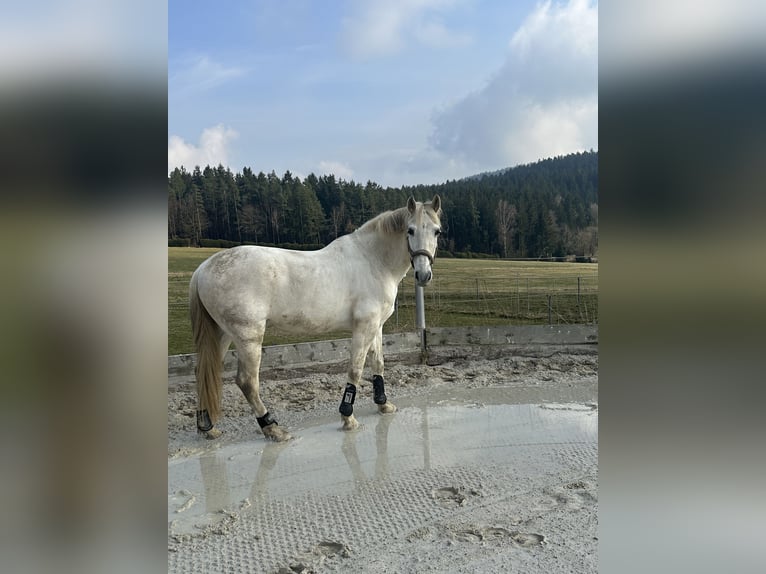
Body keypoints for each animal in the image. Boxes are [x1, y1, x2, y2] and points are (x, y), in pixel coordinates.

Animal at [189, 195, 442, 441]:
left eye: (437, 231)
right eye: (410, 230)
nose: (423, 275)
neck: (373, 260)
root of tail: (202, 269)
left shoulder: (376, 326)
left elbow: (378, 363)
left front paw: (384, 405)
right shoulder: (364, 327)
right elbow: (355, 369)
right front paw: (347, 417)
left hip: (222, 334)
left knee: (203, 372)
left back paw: (208, 427)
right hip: (248, 336)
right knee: (247, 382)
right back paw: (272, 428)